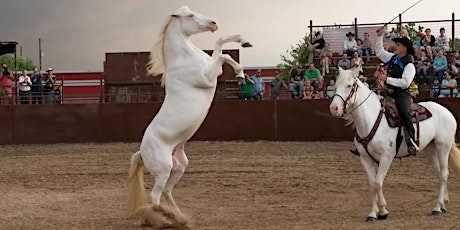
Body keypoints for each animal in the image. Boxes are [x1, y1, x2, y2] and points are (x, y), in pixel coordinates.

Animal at [126, 5, 252, 219]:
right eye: (190, 15)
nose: (213, 23)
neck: (184, 60)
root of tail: (141, 152)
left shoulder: (214, 69)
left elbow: (220, 45)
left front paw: (244, 45)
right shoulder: (208, 76)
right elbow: (224, 55)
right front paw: (241, 74)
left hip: (179, 166)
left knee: (167, 191)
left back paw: (179, 216)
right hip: (164, 169)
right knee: (155, 196)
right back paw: (167, 218)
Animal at [328, 68, 460, 221]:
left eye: (349, 86)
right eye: (335, 86)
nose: (334, 108)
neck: (371, 119)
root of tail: (446, 111)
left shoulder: (387, 157)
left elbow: (378, 182)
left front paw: (383, 211)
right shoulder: (365, 159)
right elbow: (372, 184)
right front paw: (373, 213)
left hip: (443, 147)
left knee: (444, 174)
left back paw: (437, 207)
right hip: (430, 149)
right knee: (439, 173)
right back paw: (443, 204)